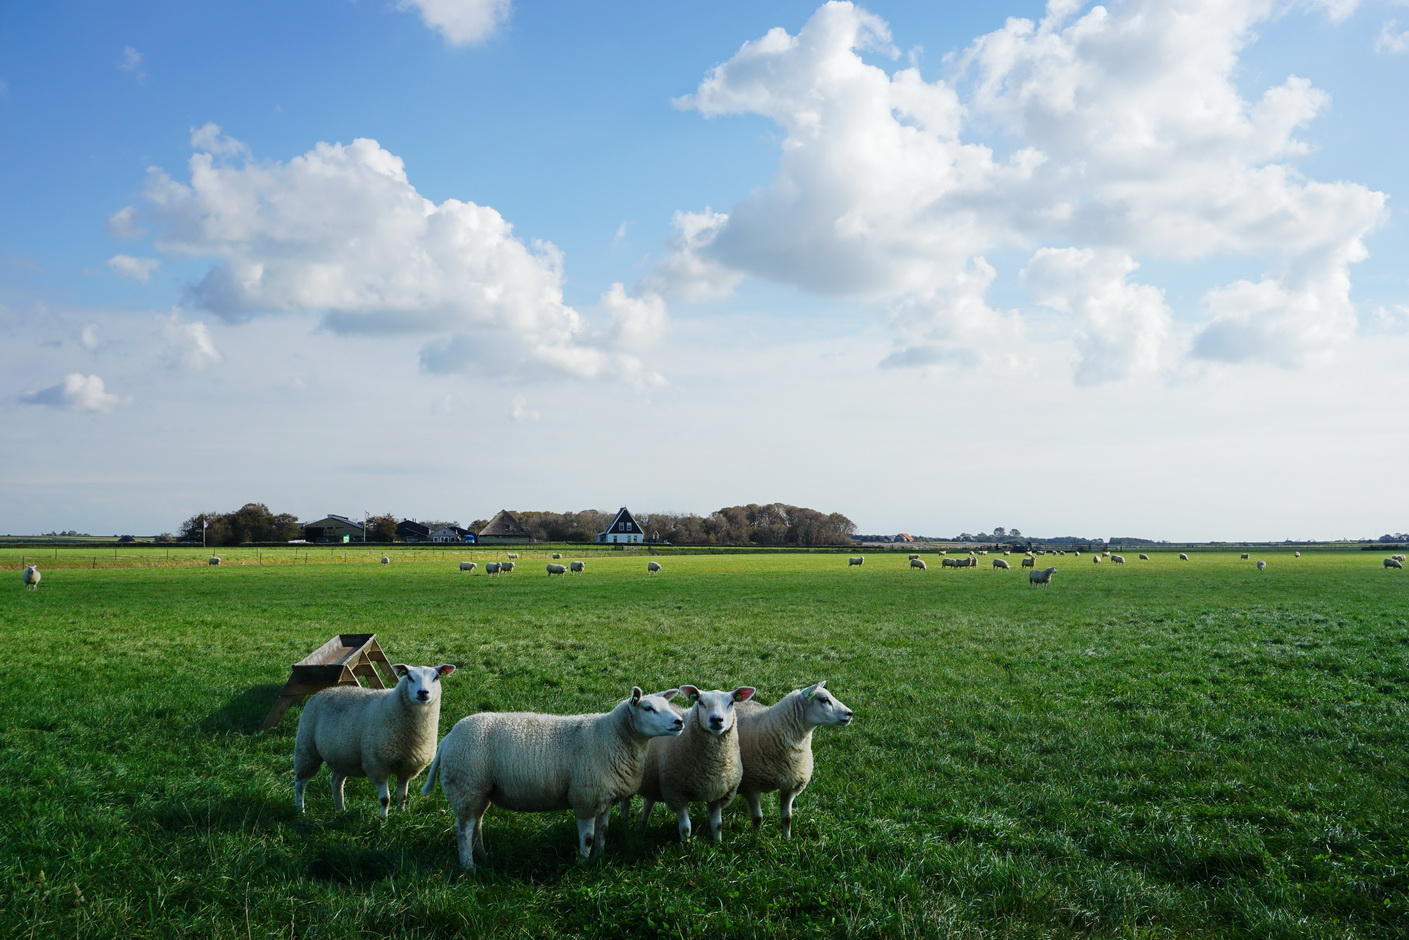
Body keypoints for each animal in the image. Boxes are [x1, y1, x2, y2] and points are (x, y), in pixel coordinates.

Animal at [294, 662, 453, 817]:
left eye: (436, 677)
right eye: (409, 677)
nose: (423, 692)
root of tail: (326, 690)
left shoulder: (407, 768)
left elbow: (402, 796)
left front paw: (401, 816)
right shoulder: (377, 766)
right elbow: (385, 799)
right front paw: (383, 820)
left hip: (342, 757)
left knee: (336, 782)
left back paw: (340, 810)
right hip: (306, 747)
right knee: (300, 782)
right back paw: (300, 810)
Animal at [417, 687, 681, 873]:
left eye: (667, 705)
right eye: (647, 708)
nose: (679, 722)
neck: (611, 735)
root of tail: (448, 739)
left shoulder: (603, 797)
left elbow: (603, 832)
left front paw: (598, 859)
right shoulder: (585, 796)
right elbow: (588, 836)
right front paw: (582, 864)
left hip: (478, 792)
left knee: (475, 826)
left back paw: (482, 856)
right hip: (466, 786)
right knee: (463, 831)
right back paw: (468, 867)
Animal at [634, 684, 755, 845]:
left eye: (731, 703)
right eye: (701, 702)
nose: (716, 719)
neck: (713, 765)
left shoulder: (718, 794)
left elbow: (717, 825)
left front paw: (718, 844)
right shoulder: (676, 794)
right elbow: (686, 827)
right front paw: (686, 846)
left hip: (653, 781)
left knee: (648, 802)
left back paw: (641, 828)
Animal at [732, 684, 851, 839]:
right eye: (824, 699)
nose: (850, 713)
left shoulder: (791, 785)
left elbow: (787, 818)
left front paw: (786, 839)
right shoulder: (751, 785)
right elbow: (758, 818)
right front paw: (755, 839)